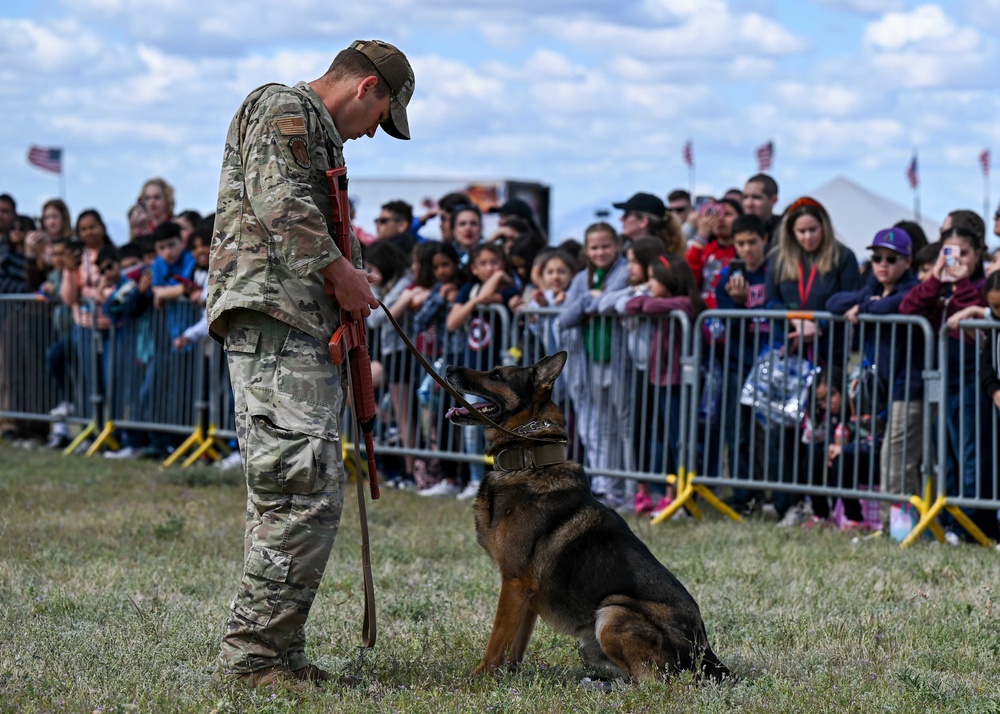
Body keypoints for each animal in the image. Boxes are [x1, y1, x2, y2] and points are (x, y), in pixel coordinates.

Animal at [446, 350, 728, 680]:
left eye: (496, 375)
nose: (449, 367)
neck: (529, 457)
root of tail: (706, 651)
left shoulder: (514, 583)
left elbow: (496, 640)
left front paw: (480, 676)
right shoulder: (525, 594)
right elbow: (514, 645)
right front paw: (508, 676)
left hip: (611, 611)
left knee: (649, 680)